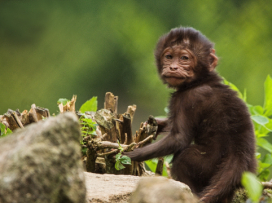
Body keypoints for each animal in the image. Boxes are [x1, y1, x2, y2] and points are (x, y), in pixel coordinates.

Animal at [124, 27, 256, 203]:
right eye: (169, 57)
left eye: (184, 58)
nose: (173, 67)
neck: (202, 80)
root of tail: (238, 158)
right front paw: (156, 125)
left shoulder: (188, 99)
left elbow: (179, 138)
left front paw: (128, 154)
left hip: (206, 165)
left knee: (183, 158)